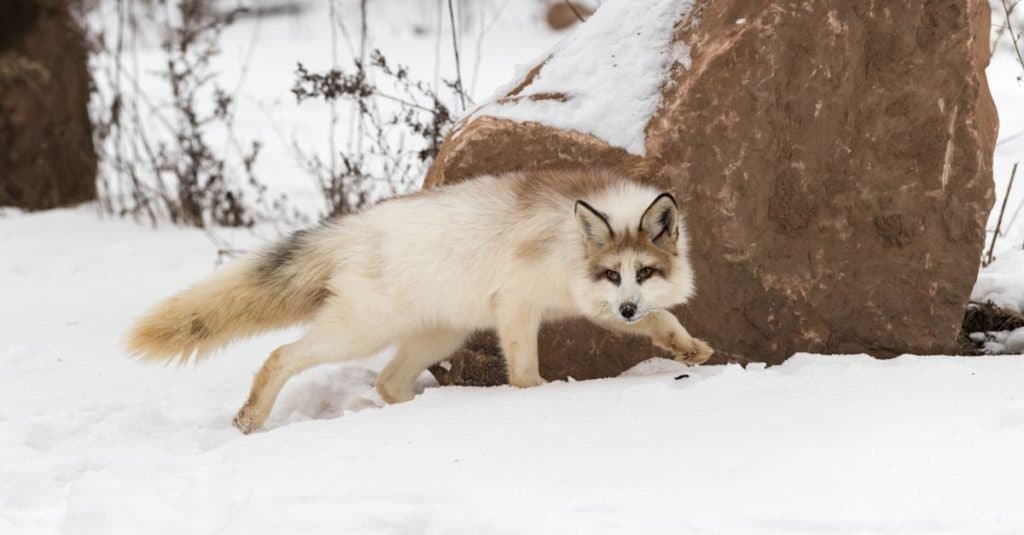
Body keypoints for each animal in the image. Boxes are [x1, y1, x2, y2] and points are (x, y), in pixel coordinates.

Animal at [128, 169, 712, 430]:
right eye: (612, 272)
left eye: (643, 272)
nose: (628, 306)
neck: (567, 244)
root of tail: (350, 229)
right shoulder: (518, 306)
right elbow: (524, 371)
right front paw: (538, 400)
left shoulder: (592, 306)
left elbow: (662, 318)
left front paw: (688, 348)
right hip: (361, 332)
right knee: (281, 356)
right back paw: (251, 417)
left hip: (438, 335)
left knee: (388, 382)